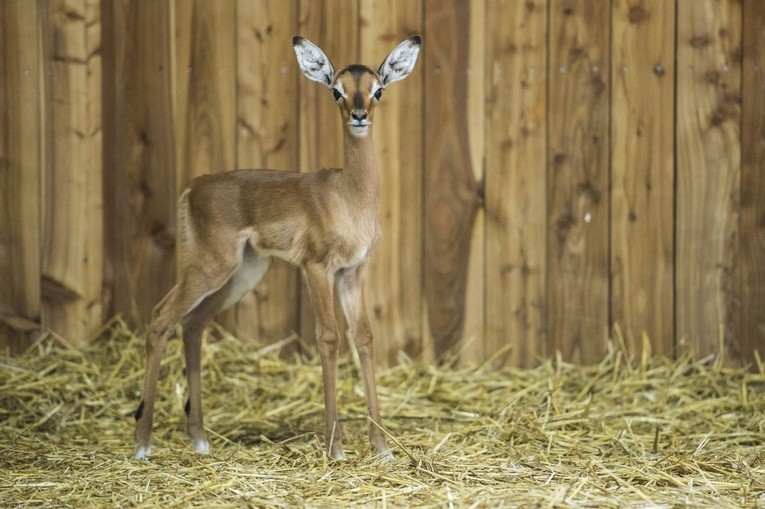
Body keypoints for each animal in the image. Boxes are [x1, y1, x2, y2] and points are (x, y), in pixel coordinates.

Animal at [130, 33, 418, 458]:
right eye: (336, 90)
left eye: (378, 89)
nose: (359, 115)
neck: (349, 195)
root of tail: (192, 187)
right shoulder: (317, 267)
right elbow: (328, 337)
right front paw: (335, 447)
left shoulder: (352, 272)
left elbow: (364, 338)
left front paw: (382, 448)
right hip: (209, 267)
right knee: (160, 318)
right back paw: (142, 443)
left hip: (242, 273)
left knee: (193, 323)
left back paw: (200, 439)